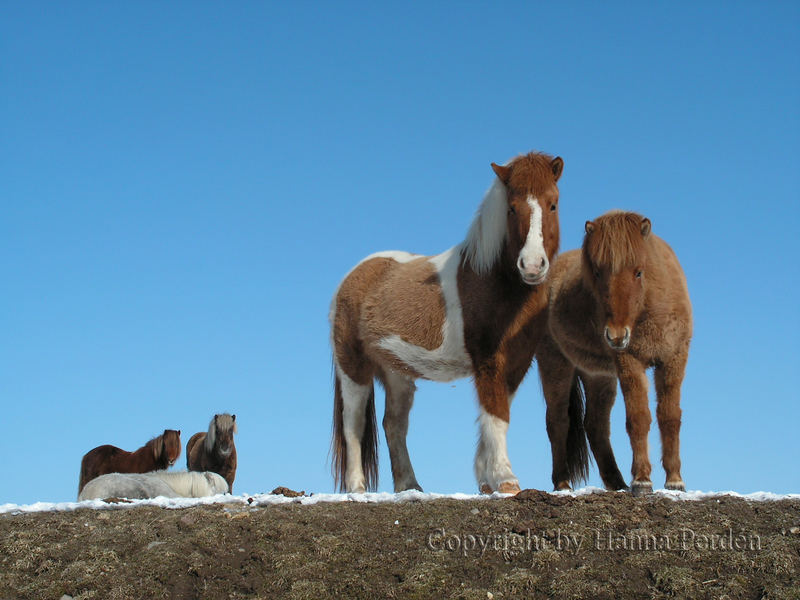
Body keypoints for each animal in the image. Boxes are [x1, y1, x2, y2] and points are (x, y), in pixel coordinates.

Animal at [330, 152, 564, 494]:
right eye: (511, 207)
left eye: (553, 204)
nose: (532, 266)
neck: (491, 279)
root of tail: (352, 276)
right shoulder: (488, 360)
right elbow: (496, 415)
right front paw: (505, 479)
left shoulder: (517, 362)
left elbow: (494, 414)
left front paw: (486, 480)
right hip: (353, 367)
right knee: (354, 425)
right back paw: (357, 489)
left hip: (396, 373)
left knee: (394, 425)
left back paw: (410, 486)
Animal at [536, 211, 692, 496]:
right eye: (597, 272)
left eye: (638, 272)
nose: (616, 335)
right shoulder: (630, 362)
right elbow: (639, 417)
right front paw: (642, 481)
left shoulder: (673, 360)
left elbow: (670, 416)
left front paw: (675, 481)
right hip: (555, 364)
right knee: (558, 421)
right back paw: (563, 483)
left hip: (597, 376)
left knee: (595, 425)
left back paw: (617, 483)